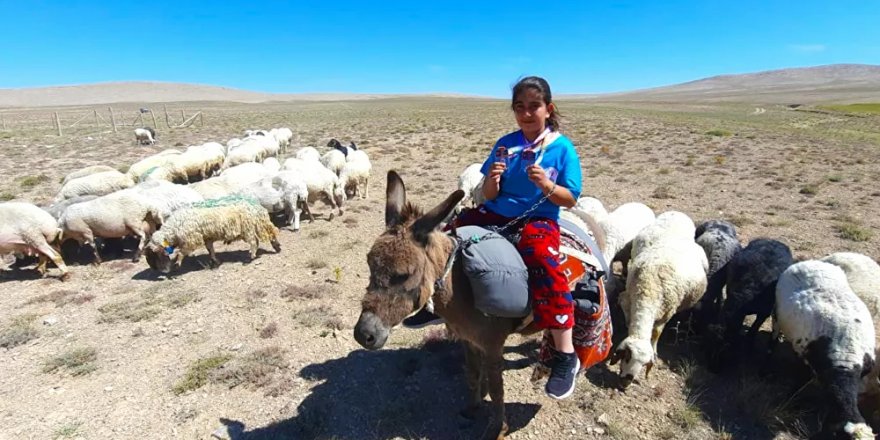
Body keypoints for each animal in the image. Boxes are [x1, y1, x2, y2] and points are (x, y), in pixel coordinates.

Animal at [144, 196, 280, 272]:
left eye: (154, 255)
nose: (159, 271)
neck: (174, 229)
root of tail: (257, 207)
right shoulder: (207, 237)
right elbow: (210, 249)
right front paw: (215, 261)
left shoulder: (191, 239)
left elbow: (182, 252)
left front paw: (178, 263)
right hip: (256, 225)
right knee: (270, 233)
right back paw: (276, 247)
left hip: (248, 228)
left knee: (254, 241)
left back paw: (250, 256)